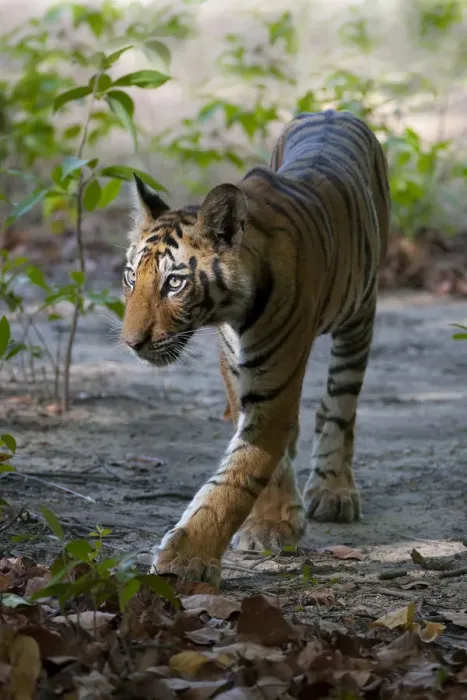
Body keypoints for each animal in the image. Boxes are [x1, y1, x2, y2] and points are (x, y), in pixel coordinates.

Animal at [121, 109, 390, 584]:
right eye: (132, 277)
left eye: (174, 283)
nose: (132, 343)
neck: (231, 313)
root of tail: (331, 110)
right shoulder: (235, 369)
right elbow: (264, 459)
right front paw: (271, 525)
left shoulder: (274, 386)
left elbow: (236, 479)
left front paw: (186, 561)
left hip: (360, 315)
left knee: (340, 406)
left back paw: (334, 489)